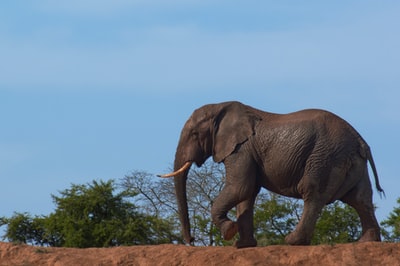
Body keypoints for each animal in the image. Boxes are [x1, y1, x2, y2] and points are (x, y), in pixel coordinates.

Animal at [158, 101, 382, 248]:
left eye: (194, 134)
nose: (192, 241)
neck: (221, 107)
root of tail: (360, 140)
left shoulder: (241, 150)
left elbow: (241, 187)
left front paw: (229, 231)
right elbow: (247, 194)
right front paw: (244, 245)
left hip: (324, 157)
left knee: (313, 192)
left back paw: (292, 241)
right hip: (351, 163)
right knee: (360, 198)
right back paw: (367, 242)